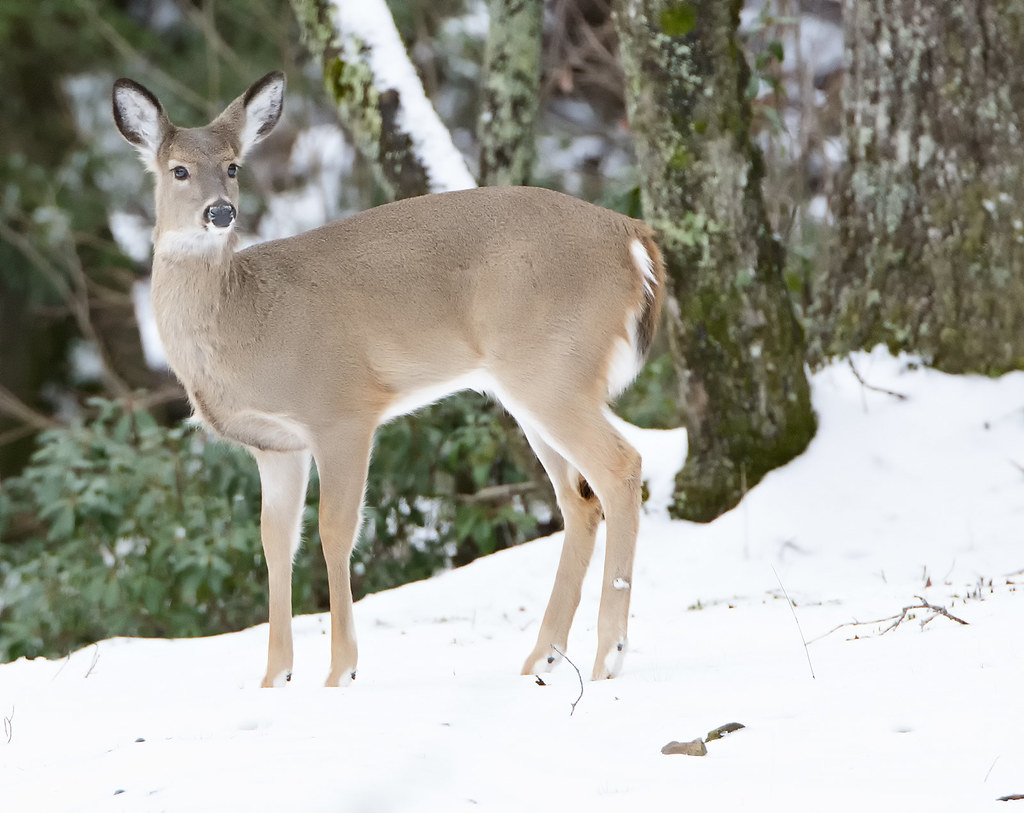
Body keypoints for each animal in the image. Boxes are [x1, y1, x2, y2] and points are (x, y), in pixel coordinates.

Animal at [112, 71, 665, 688]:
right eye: (179, 169)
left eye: (233, 165)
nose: (221, 212)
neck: (247, 321)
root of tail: (633, 236)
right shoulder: (276, 446)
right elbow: (275, 543)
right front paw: (275, 678)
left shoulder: (341, 410)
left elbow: (335, 531)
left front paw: (341, 673)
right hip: (533, 384)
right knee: (578, 500)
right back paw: (541, 658)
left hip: (553, 365)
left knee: (621, 466)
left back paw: (608, 656)